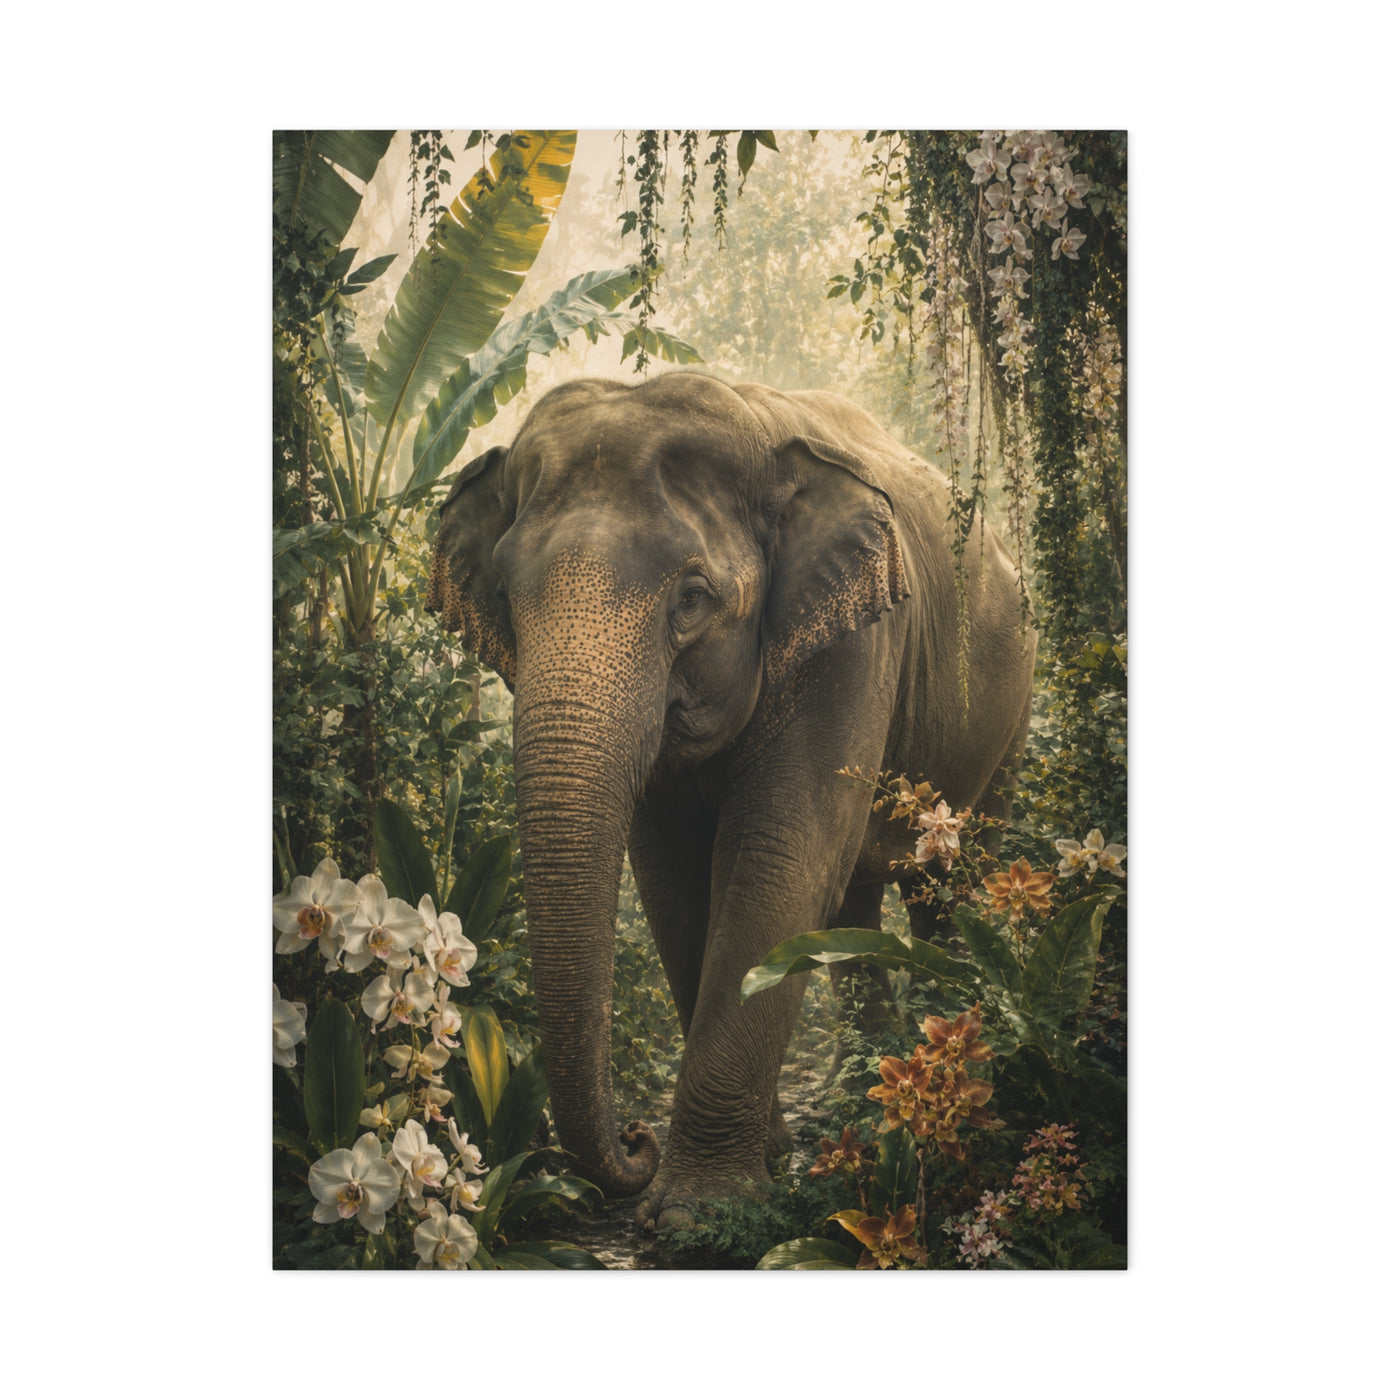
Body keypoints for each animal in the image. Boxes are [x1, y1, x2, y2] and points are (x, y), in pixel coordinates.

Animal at [426, 372, 1035, 1231]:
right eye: (508, 598)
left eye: (691, 598)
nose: (636, 1143)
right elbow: (673, 878)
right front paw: (764, 1161)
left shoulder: (854, 642)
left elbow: (780, 854)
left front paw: (700, 1211)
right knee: (853, 897)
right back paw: (866, 1088)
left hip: (1011, 709)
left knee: (944, 883)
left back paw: (937, 1062)